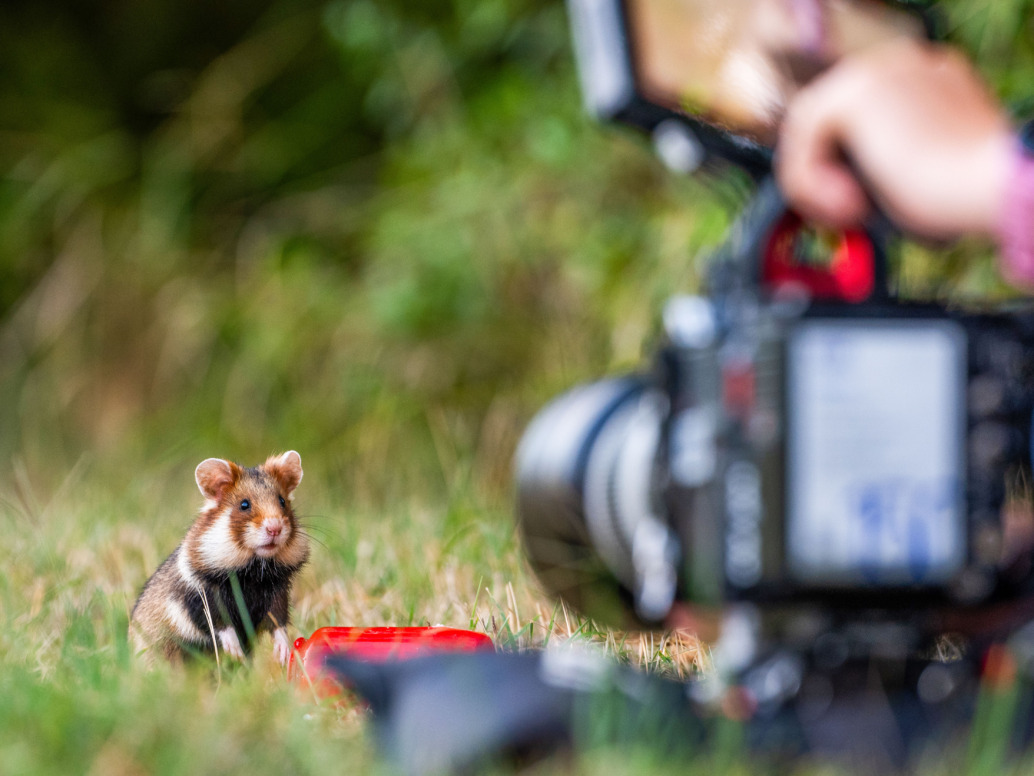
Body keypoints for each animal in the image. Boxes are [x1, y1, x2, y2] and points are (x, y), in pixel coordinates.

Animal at [127, 453, 308, 666]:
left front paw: (283, 655)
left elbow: (278, 623)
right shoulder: (202, 597)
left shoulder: (277, 594)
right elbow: (221, 624)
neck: (253, 571)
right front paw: (235, 652)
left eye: (282, 501)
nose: (275, 529)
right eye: (244, 504)